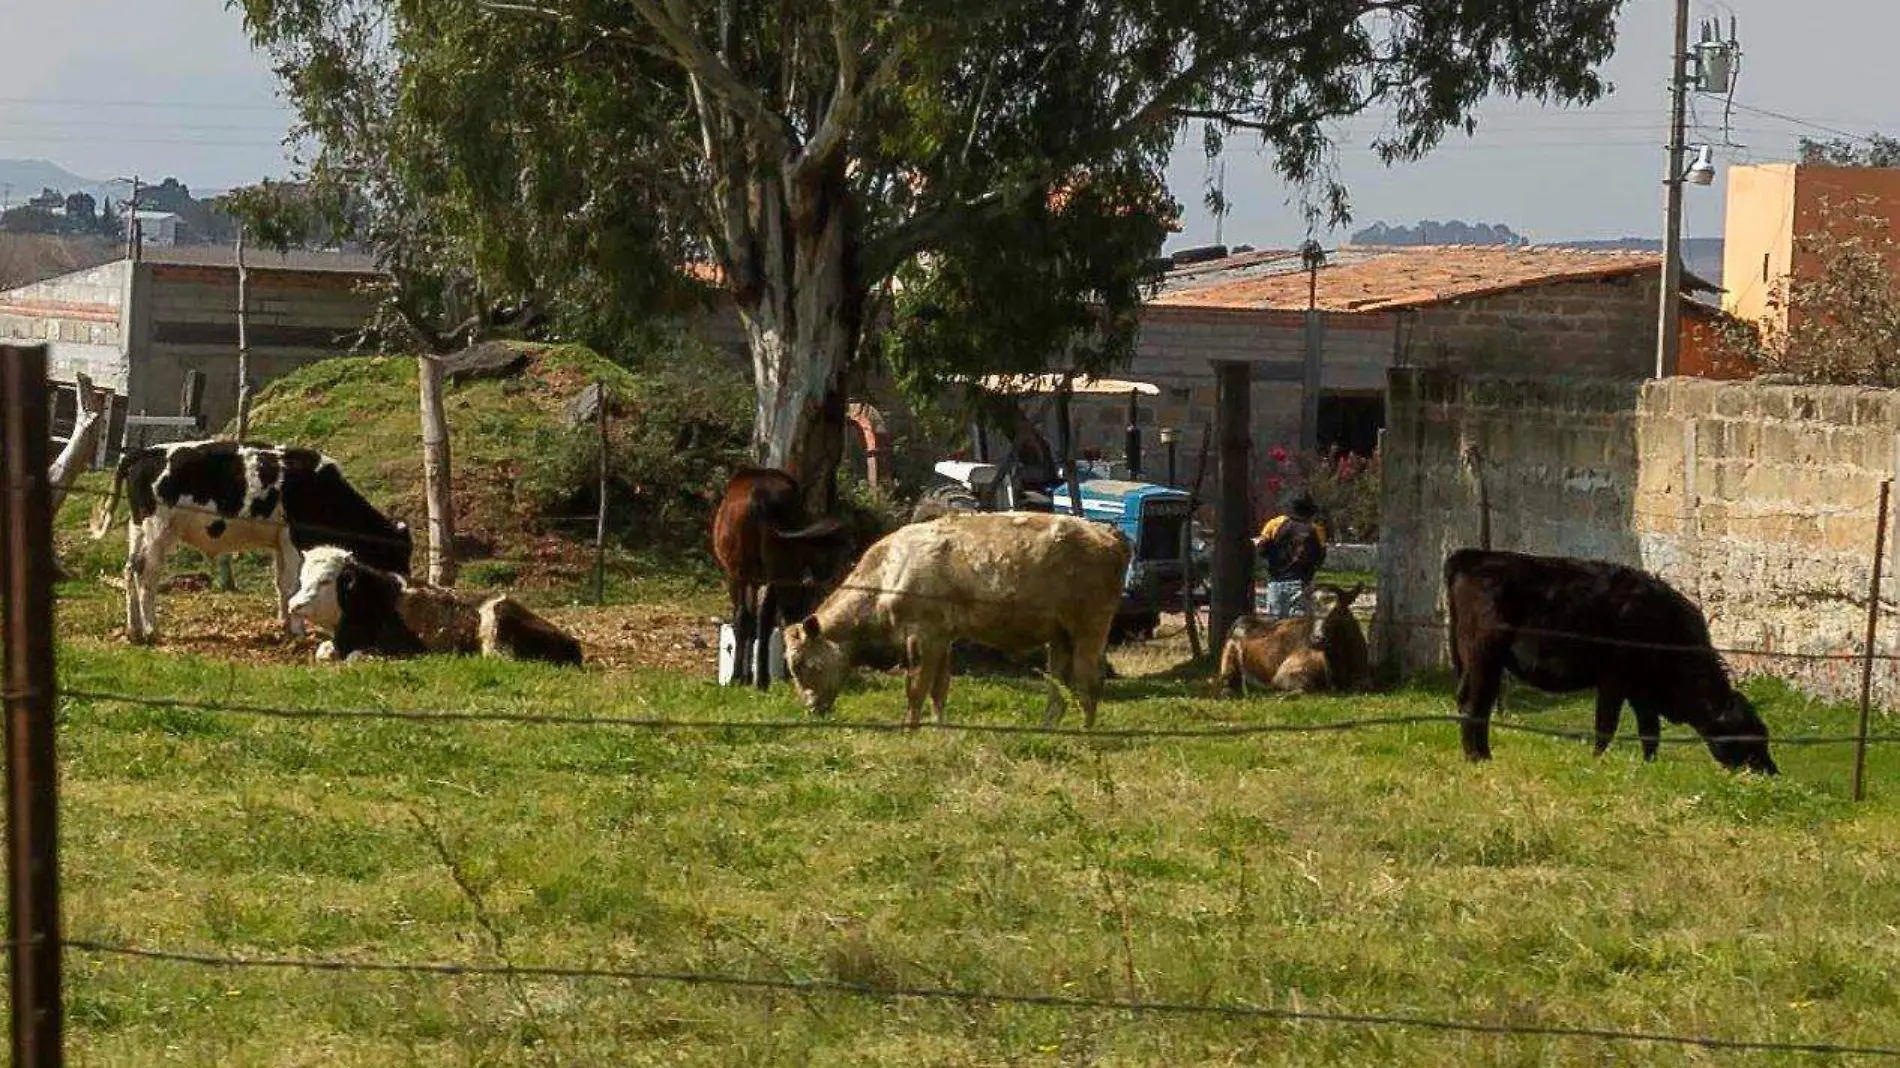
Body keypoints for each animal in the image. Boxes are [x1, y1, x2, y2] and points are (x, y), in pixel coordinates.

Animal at [89, 438, 412, 638]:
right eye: (400, 552)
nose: (407, 584)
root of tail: (145, 452)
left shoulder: (280, 542)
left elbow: (281, 584)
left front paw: (285, 623)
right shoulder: (294, 540)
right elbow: (293, 584)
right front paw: (298, 629)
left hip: (139, 529)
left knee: (129, 570)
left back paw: (133, 630)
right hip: (159, 530)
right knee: (146, 576)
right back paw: (151, 629)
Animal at [714, 467, 855, 684]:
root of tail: (760, 497)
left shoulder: (739, 575)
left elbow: (745, 618)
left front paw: (741, 675)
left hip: (743, 572)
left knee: (751, 616)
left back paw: (747, 677)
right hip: (776, 569)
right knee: (766, 618)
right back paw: (761, 679)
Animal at [775, 505, 1124, 722]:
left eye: (799, 664)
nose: (810, 710)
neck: (888, 570)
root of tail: (1106, 532)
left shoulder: (923, 634)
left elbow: (916, 688)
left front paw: (909, 729)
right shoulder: (943, 637)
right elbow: (938, 689)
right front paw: (939, 729)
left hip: (1091, 626)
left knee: (1089, 681)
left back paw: (1085, 736)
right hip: (1060, 635)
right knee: (1059, 689)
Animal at [1216, 577, 1368, 695]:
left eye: (1338, 611)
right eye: (1308, 610)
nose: (1317, 638)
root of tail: (1242, 619)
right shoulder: (1282, 675)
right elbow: (1306, 687)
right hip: (1228, 656)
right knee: (1225, 680)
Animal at [1444, 547, 1770, 771]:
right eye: (1751, 736)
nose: (1771, 771)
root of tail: (1474, 556)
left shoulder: (1643, 692)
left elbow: (1650, 732)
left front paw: (1649, 766)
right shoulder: (1614, 681)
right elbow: (1606, 725)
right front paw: (1597, 761)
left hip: (1475, 662)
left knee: (1472, 702)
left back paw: (1481, 755)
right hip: (1484, 657)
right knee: (1475, 704)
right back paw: (1477, 757)